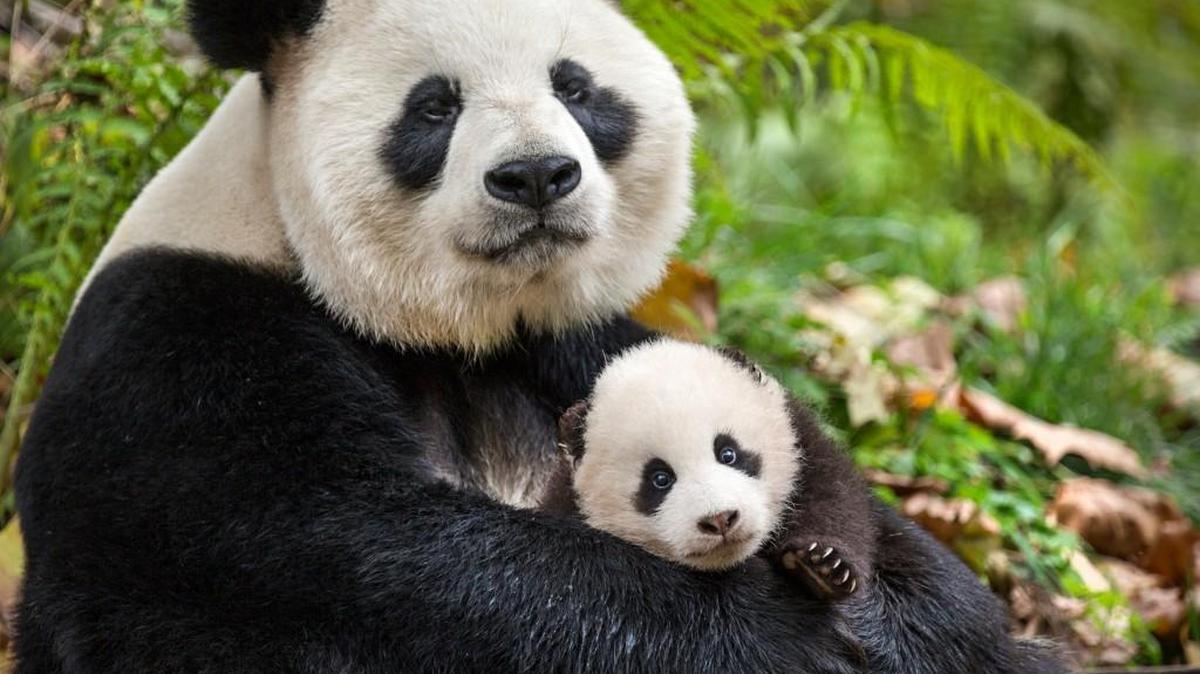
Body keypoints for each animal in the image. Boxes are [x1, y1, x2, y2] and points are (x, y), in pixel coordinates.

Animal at [545, 340, 873, 601]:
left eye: (728, 453)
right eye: (660, 479)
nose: (720, 519)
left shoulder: (801, 442)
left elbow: (834, 495)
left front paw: (823, 566)